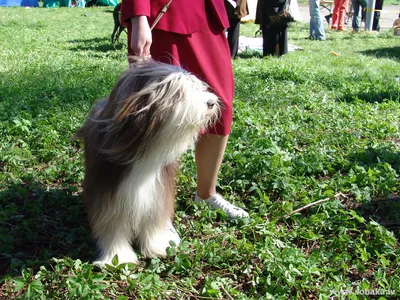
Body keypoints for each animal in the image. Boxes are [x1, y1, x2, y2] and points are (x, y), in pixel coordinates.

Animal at [74, 61, 219, 264]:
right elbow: (112, 226)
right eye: (179, 93)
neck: (144, 150)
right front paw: (118, 258)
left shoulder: (157, 192)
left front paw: (157, 247)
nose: (211, 102)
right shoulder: (109, 194)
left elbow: (152, 220)